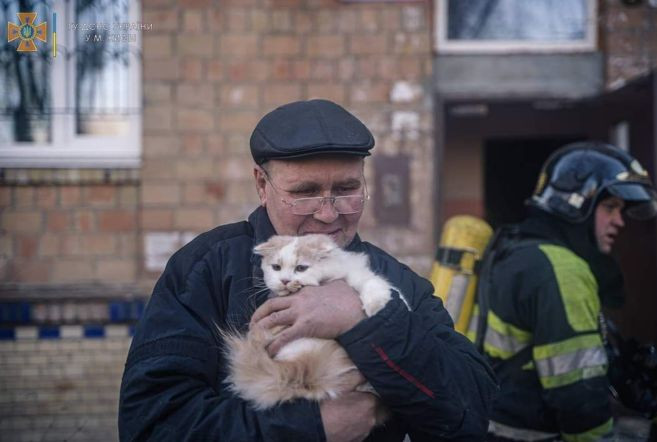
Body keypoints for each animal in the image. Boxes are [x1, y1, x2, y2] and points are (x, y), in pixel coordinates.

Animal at [223, 233, 402, 420]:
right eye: (276, 267)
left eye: (301, 268)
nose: (285, 281)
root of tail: (303, 367)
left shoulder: (356, 274)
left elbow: (374, 285)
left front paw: (377, 308)